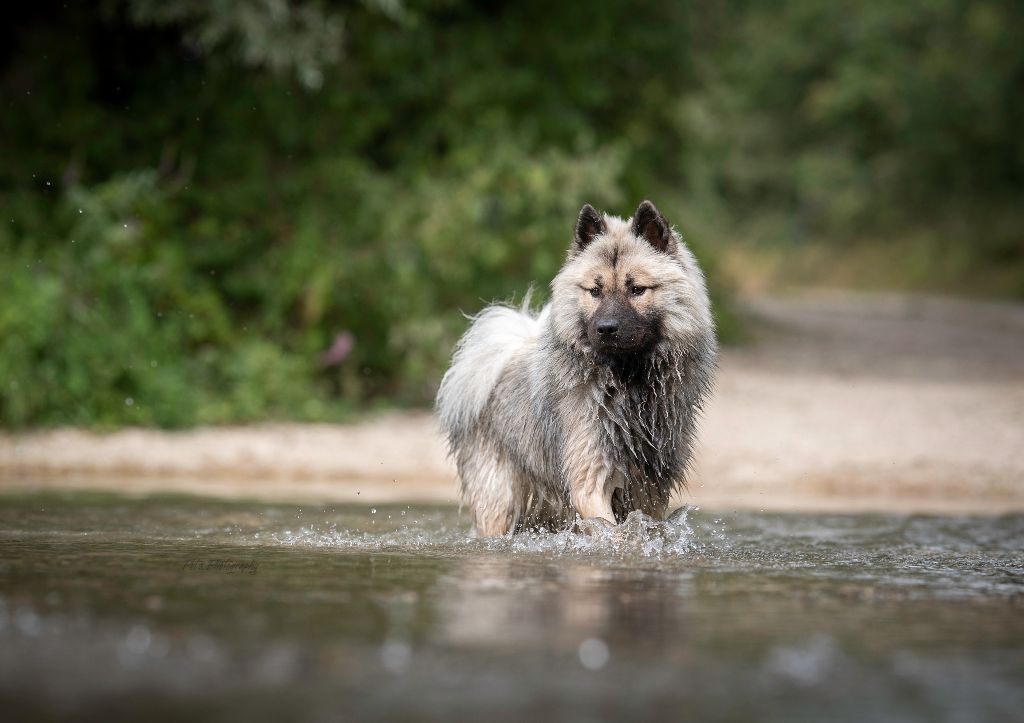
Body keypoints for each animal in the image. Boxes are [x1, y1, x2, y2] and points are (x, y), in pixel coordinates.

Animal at [436, 199, 716, 532]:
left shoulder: (649, 490)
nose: (606, 329)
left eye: (636, 289)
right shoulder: (590, 477)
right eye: (594, 291)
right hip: (499, 501)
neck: (628, 383)